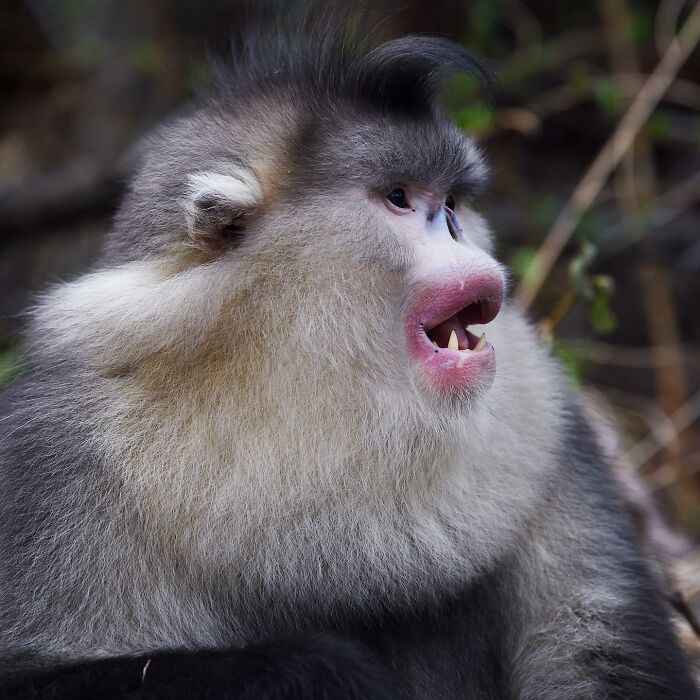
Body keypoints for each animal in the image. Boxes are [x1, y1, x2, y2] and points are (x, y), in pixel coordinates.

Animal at [0, 11, 698, 700]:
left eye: (451, 205)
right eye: (399, 199)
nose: (468, 247)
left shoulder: (555, 430)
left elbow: (600, 647)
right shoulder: (50, 458)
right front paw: (323, 670)